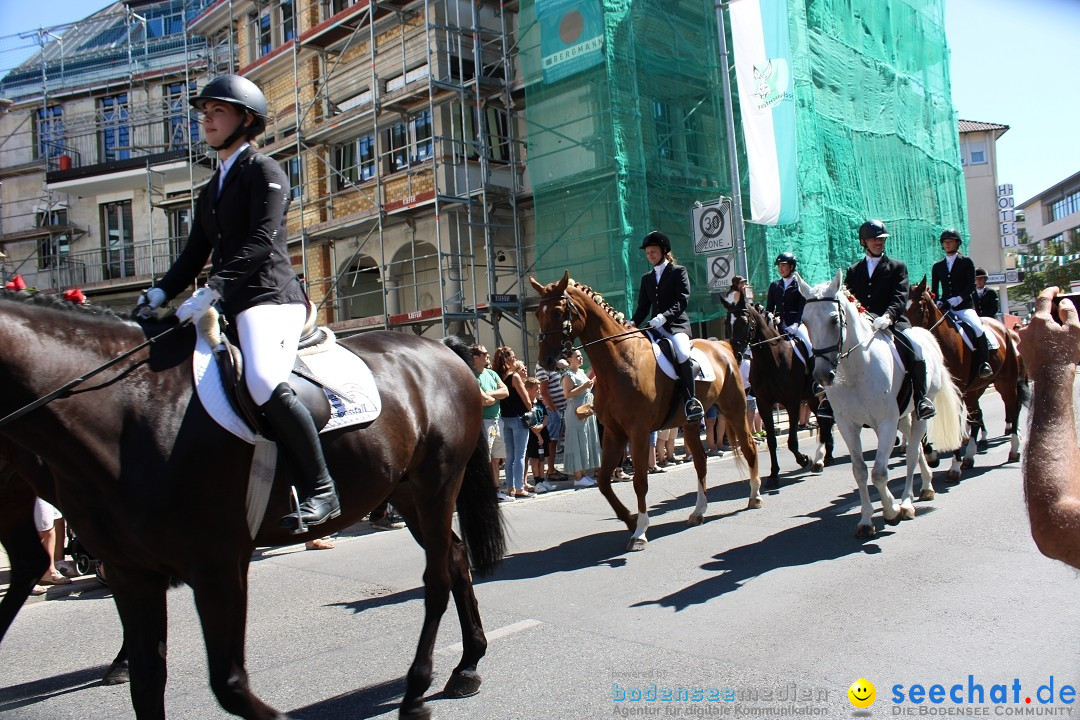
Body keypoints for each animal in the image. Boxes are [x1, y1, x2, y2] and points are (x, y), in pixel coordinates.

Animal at [0, 289, 503, 720]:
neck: (132, 407)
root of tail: (439, 349)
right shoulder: (132, 572)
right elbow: (147, 682)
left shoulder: (218, 565)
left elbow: (230, 685)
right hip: (404, 492)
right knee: (456, 558)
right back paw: (467, 666)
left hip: (437, 484)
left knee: (437, 578)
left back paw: (418, 689)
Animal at [531, 274, 760, 552]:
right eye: (537, 314)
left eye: (556, 312)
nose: (545, 361)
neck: (620, 361)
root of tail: (724, 347)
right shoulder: (614, 432)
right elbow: (604, 481)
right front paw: (630, 520)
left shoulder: (637, 432)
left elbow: (639, 481)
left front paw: (639, 532)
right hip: (691, 424)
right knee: (700, 461)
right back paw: (698, 511)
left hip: (735, 408)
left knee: (748, 447)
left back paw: (754, 496)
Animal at [725, 302, 833, 487]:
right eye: (726, 322)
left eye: (744, 322)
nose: (736, 355)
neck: (770, 359)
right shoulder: (764, 404)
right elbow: (771, 441)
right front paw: (774, 474)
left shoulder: (792, 402)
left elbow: (792, 441)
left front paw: (805, 460)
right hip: (812, 397)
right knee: (823, 420)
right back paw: (823, 458)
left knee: (828, 421)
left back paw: (821, 459)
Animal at [799, 273, 967, 537]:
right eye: (805, 321)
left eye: (834, 320)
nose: (822, 376)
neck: (856, 369)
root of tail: (925, 335)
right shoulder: (848, 425)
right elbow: (860, 470)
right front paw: (867, 520)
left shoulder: (886, 422)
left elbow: (879, 472)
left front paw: (891, 510)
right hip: (902, 418)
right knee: (916, 449)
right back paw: (926, 487)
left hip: (918, 414)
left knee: (912, 454)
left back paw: (907, 503)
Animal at [907, 278, 1023, 479]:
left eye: (919, 307)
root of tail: (1004, 329)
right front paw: (932, 455)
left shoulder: (956, 390)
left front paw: (954, 467)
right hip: (975, 390)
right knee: (976, 416)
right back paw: (969, 456)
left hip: (1006, 382)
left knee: (1012, 408)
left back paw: (1014, 449)